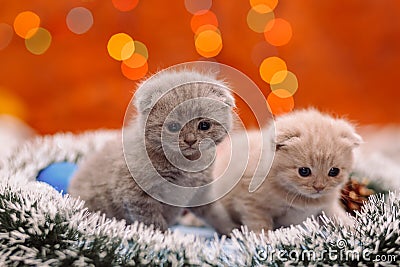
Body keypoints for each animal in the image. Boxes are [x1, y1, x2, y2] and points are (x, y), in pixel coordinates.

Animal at [68, 70, 234, 231]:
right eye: (173, 127)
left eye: (204, 125)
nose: (190, 140)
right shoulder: (136, 195)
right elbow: (154, 222)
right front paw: (164, 237)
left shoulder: (200, 192)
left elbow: (215, 213)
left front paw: (231, 230)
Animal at [211, 109, 360, 234]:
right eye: (304, 171)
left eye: (334, 171)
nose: (319, 187)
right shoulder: (251, 204)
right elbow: (260, 225)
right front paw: (263, 240)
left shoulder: (327, 205)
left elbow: (336, 214)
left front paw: (351, 227)